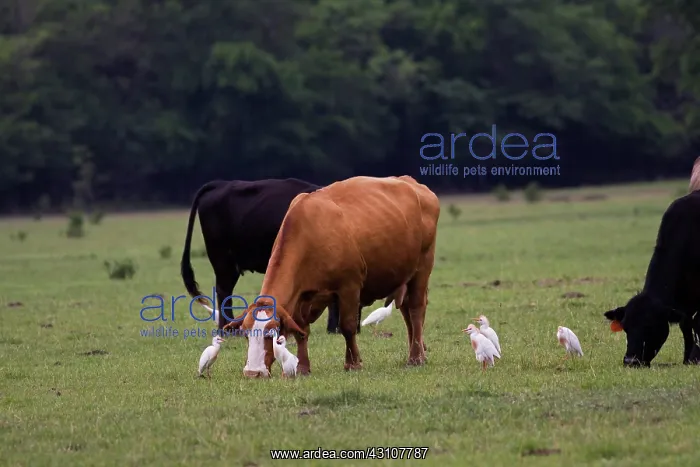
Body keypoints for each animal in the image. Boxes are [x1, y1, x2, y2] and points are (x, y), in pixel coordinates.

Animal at [223, 175, 440, 378]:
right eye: (246, 334)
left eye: (270, 334)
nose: (253, 373)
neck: (309, 235)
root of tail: (411, 183)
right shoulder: (302, 296)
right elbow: (302, 331)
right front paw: (303, 367)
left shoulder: (349, 288)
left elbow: (347, 326)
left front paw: (353, 363)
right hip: (403, 276)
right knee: (406, 311)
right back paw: (419, 351)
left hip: (422, 269)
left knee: (416, 310)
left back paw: (416, 357)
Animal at [603, 189, 700, 367]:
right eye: (625, 327)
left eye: (649, 326)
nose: (630, 361)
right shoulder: (685, 305)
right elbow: (686, 326)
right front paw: (687, 358)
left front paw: (694, 358)